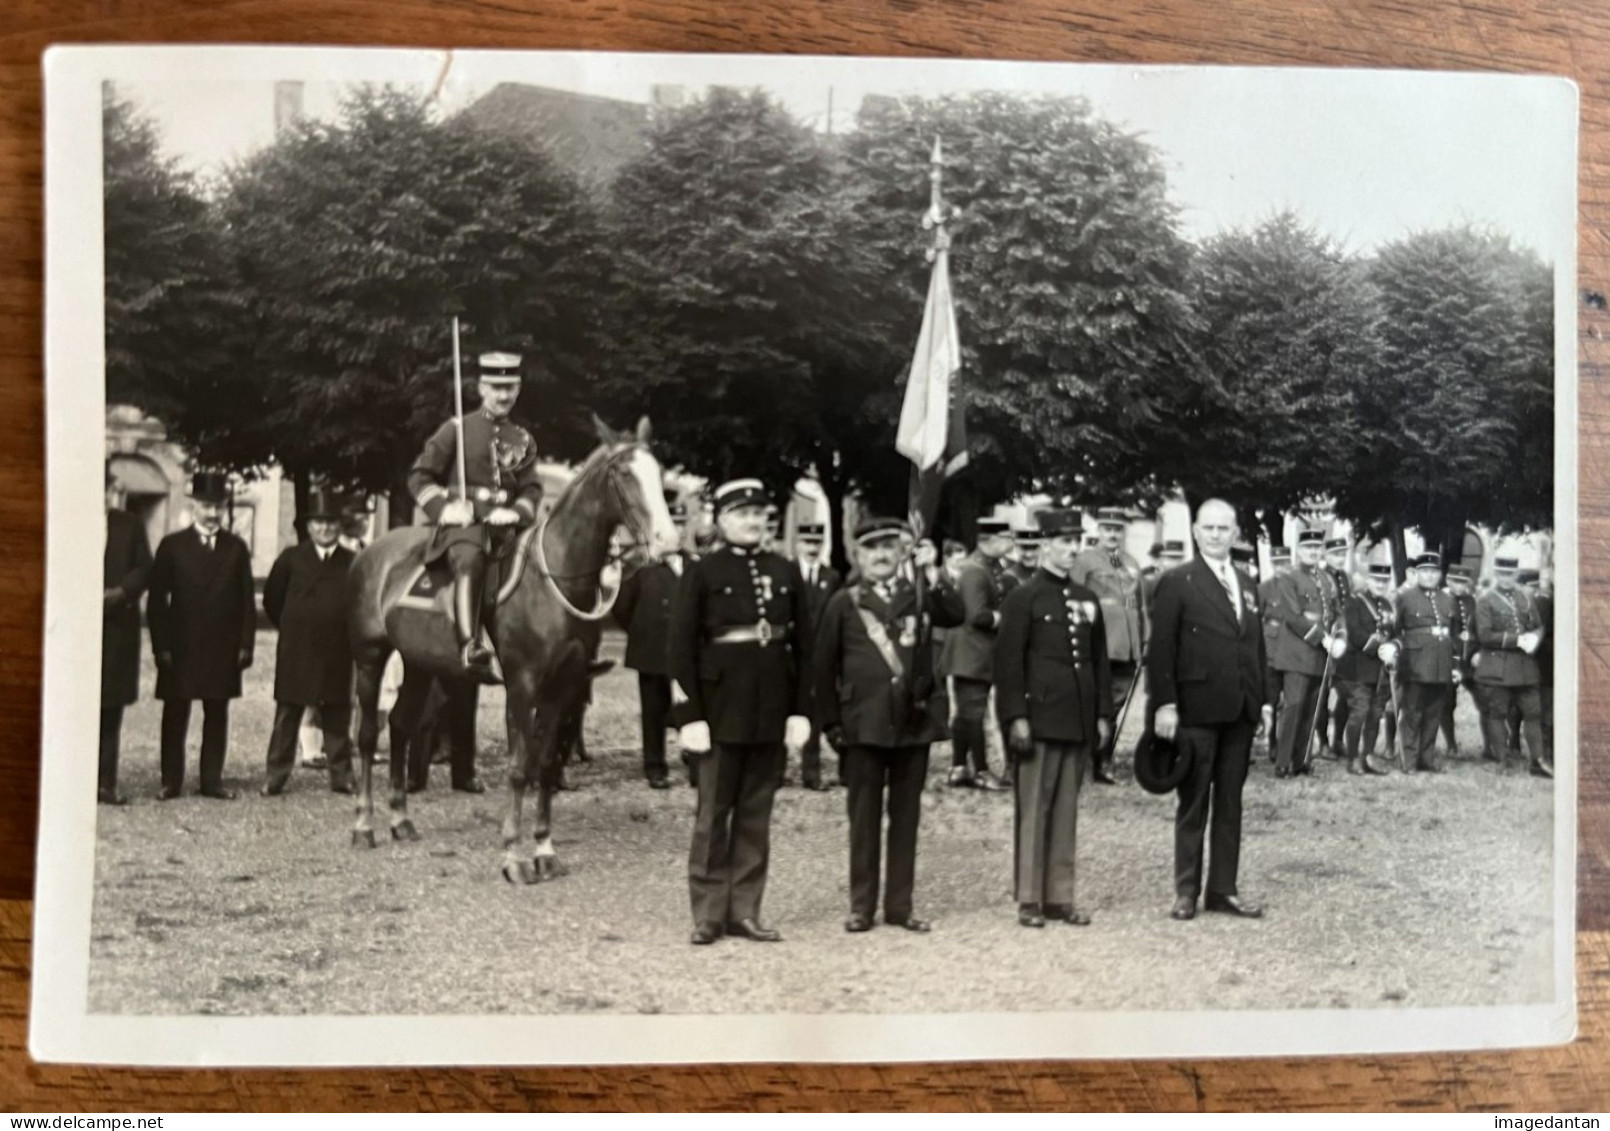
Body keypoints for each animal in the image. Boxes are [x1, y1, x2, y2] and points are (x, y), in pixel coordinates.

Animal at [346, 415, 679, 889]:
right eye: (623, 473)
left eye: (660, 473)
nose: (668, 542)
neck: (555, 577)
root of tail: (372, 551)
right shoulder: (522, 686)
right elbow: (520, 767)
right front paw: (513, 855)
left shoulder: (564, 688)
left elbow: (545, 765)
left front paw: (545, 850)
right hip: (371, 656)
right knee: (367, 734)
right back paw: (364, 825)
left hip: (420, 664)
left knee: (400, 725)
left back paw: (400, 820)